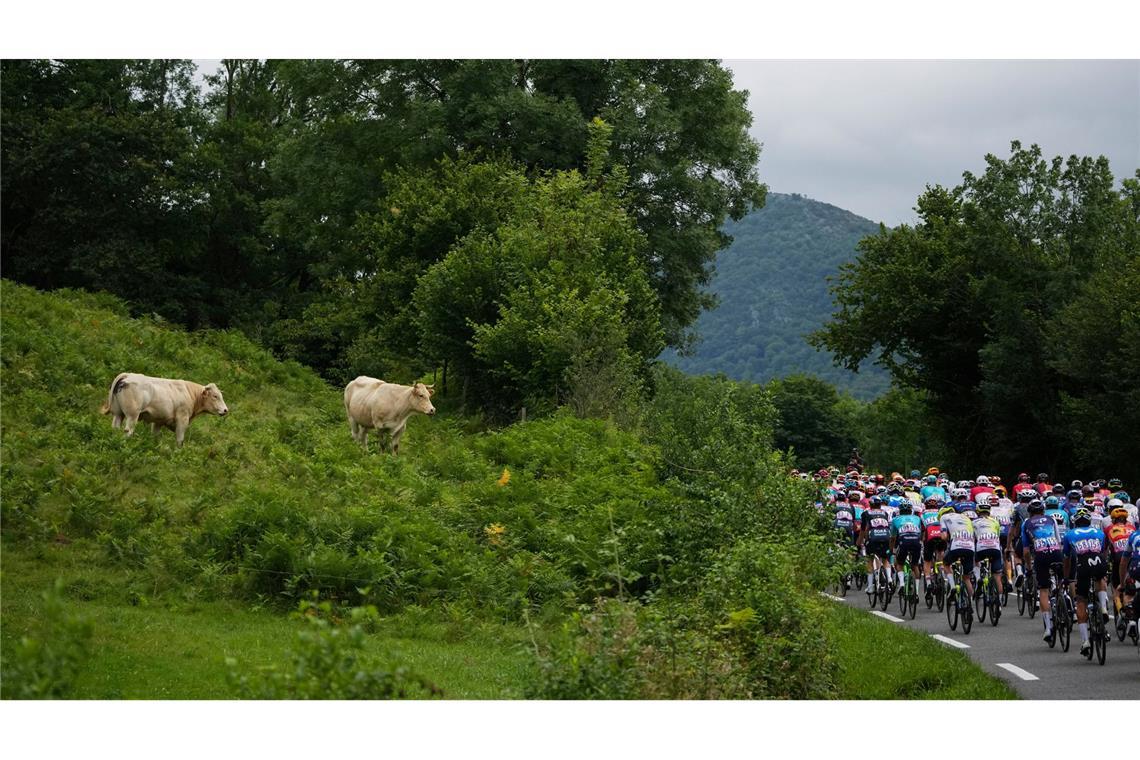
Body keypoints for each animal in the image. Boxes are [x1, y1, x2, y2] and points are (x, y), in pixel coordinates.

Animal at [100, 373, 229, 446]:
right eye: (215, 396)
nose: (225, 410)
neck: (190, 393)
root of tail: (127, 375)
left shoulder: (158, 421)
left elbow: (155, 436)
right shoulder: (182, 419)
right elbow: (180, 440)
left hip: (118, 414)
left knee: (115, 428)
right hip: (132, 415)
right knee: (128, 431)